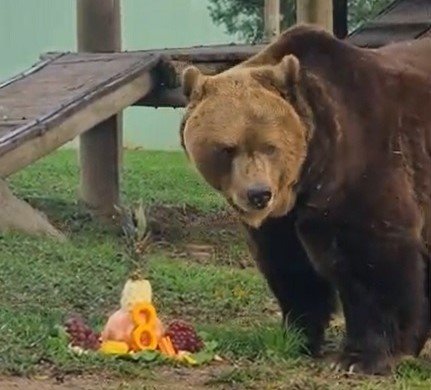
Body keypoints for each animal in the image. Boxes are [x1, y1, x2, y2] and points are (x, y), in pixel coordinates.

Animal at [178, 25, 431, 374]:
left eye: (270, 146)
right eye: (227, 148)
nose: (258, 194)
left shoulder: (366, 162)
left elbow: (372, 261)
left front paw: (362, 357)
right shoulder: (280, 221)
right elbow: (291, 268)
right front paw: (297, 335)